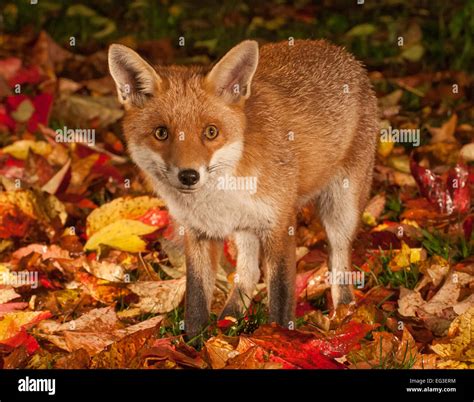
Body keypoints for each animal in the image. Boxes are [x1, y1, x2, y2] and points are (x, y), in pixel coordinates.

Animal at [109, 40, 380, 336]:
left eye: (211, 132)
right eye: (161, 133)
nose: (189, 176)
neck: (224, 190)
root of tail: (341, 51)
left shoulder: (279, 224)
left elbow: (281, 298)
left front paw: (279, 338)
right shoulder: (199, 231)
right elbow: (196, 300)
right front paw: (193, 343)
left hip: (341, 211)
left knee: (339, 263)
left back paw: (344, 313)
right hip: (246, 229)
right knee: (249, 274)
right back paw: (230, 317)